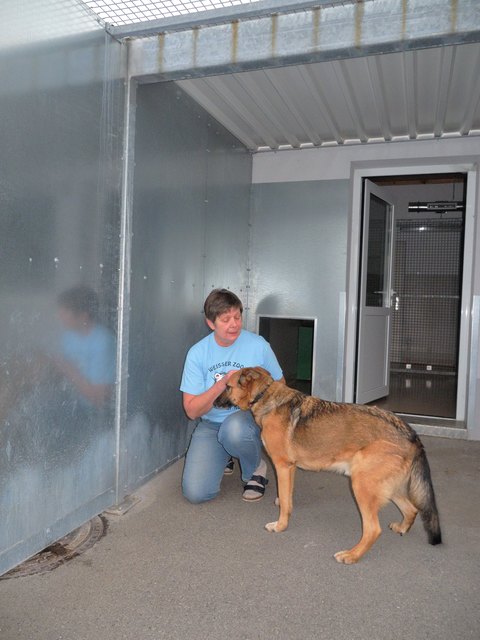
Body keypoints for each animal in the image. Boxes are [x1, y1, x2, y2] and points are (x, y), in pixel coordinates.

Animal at [216, 368, 440, 564]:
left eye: (227, 386)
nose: (214, 401)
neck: (266, 395)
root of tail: (409, 432)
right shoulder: (290, 468)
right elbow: (288, 497)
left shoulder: (282, 466)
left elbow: (286, 502)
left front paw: (280, 525)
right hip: (384, 485)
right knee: (411, 509)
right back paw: (401, 528)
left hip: (361, 485)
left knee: (373, 529)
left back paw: (352, 555)